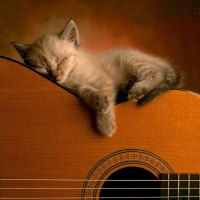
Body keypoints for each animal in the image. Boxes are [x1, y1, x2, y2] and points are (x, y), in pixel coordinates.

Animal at [11, 19, 182, 137]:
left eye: (60, 61)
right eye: (43, 68)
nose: (55, 76)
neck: (73, 74)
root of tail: (161, 61)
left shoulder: (104, 81)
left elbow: (107, 99)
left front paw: (106, 126)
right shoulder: (75, 88)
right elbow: (87, 91)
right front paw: (101, 105)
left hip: (131, 60)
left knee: (157, 73)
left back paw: (138, 89)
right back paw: (129, 85)